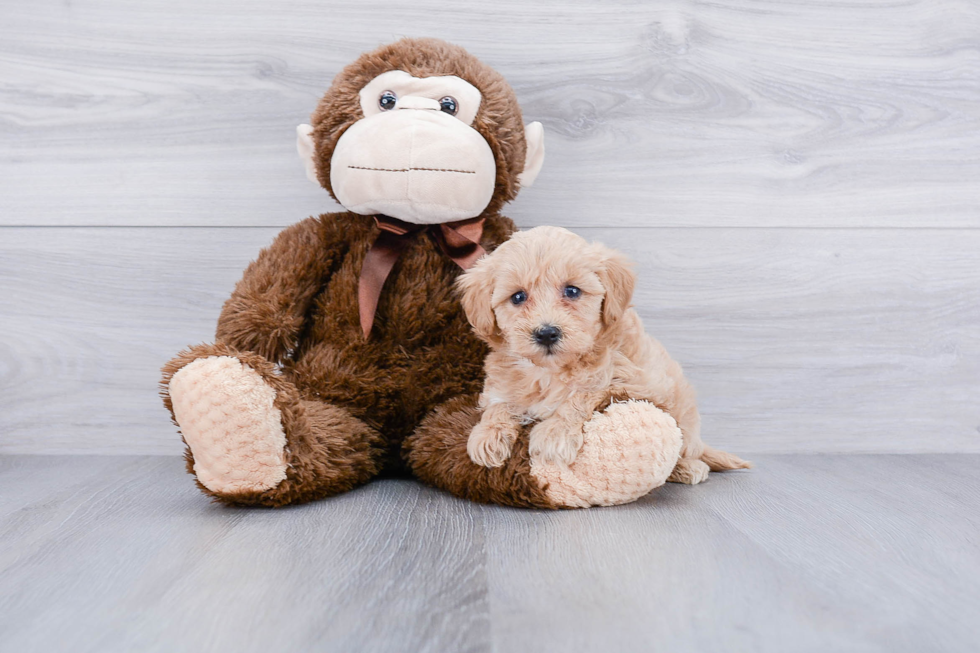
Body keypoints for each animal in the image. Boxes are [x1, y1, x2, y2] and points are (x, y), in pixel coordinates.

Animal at [456, 227, 748, 482]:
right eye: (517, 297)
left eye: (572, 291)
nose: (547, 333)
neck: (551, 371)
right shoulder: (504, 382)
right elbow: (499, 404)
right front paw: (487, 435)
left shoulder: (641, 385)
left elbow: (586, 392)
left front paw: (554, 434)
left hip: (684, 417)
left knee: (686, 450)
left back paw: (689, 469)